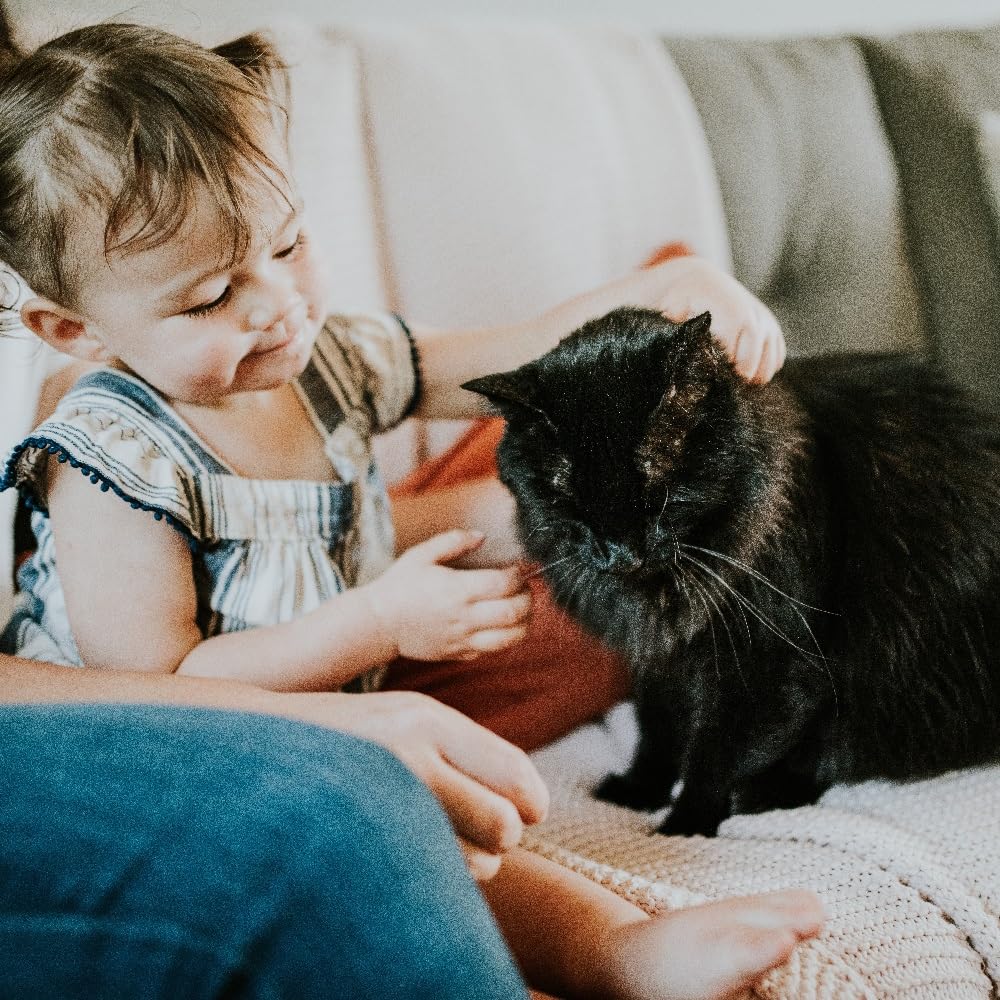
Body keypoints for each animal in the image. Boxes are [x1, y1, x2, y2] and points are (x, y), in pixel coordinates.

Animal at [462, 306, 1000, 837]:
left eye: (657, 491)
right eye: (568, 500)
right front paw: (640, 791)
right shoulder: (660, 664)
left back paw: (760, 794)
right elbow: (658, 732)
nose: (620, 553)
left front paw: (686, 825)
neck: (660, 597)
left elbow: (714, 753)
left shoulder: (765, 663)